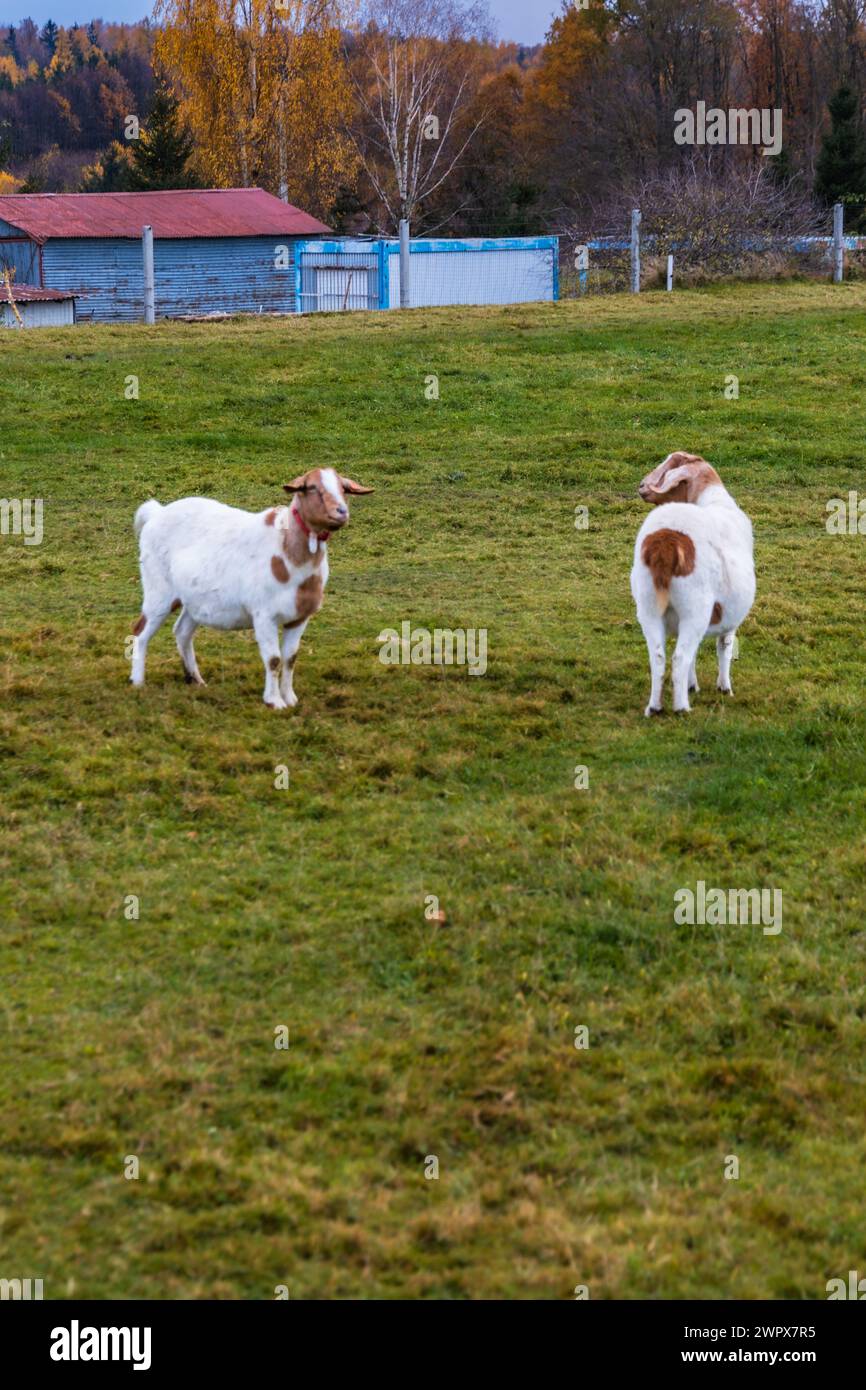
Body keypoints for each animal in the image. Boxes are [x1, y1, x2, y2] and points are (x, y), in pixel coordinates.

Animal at [130, 469, 375, 706]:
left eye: (344, 488)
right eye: (312, 487)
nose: (341, 511)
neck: (288, 554)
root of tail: (156, 513)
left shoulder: (300, 617)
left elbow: (290, 658)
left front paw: (290, 698)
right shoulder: (264, 615)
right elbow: (274, 660)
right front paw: (274, 701)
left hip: (195, 600)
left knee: (182, 631)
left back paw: (196, 680)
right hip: (158, 589)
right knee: (140, 631)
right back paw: (138, 682)